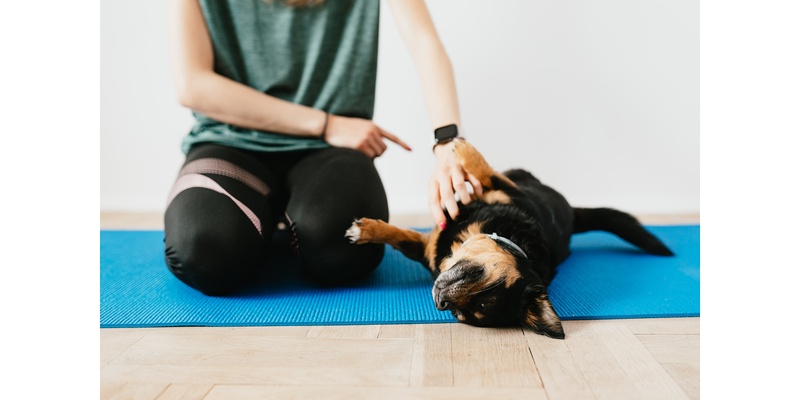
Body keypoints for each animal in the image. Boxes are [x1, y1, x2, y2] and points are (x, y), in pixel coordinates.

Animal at [346, 139, 676, 340]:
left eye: (463, 313)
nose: (441, 302)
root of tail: (572, 214)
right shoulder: (502, 197)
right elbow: (400, 236)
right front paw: (367, 231)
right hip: (519, 177)